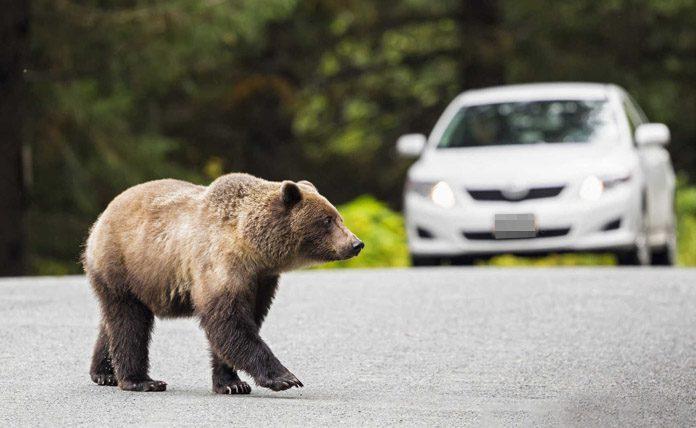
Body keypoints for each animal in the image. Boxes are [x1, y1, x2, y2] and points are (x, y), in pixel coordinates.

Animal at [82, 172, 364, 392]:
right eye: (327, 220)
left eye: (339, 217)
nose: (356, 244)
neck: (253, 248)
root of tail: (102, 216)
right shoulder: (219, 265)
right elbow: (229, 322)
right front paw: (284, 377)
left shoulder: (261, 280)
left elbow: (245, 321)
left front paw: (231, 383)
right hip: (123, 266)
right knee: (129, 322)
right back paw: (140, 380)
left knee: (113, 323)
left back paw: (104, 372)